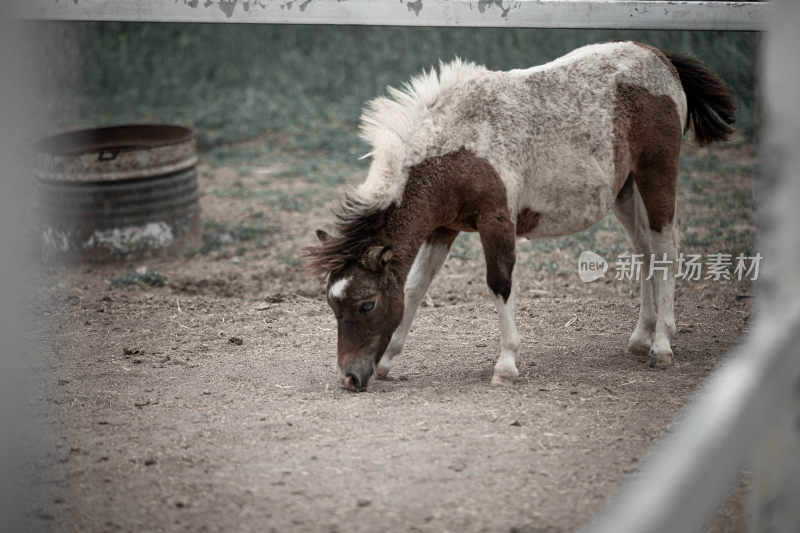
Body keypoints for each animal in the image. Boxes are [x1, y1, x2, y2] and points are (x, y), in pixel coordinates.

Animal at [304, 40, 736, 390]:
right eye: (332, 305)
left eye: (366, 305)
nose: (350, 376)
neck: (452, 148)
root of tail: (662, 59)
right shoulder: (442, 228)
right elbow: (414, 287)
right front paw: (389, 361)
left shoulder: (495, 220)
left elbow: (499, 283)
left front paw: (507, 364)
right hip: (625, 190)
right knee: (646, 251)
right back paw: (641, 337)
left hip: (656, 172)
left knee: (665, 249)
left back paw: (661, 345)